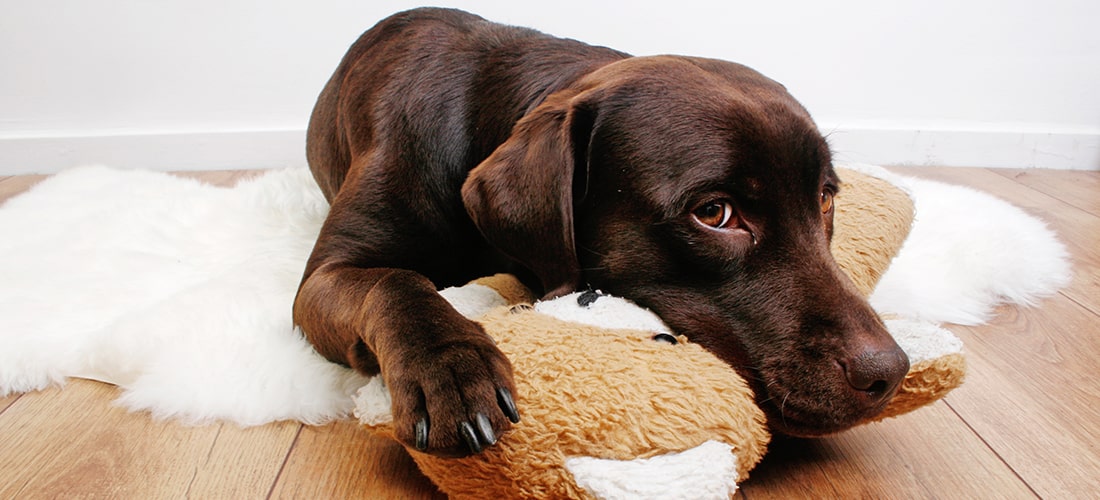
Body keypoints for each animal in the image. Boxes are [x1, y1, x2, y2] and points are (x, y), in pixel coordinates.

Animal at [297, 6, 906, 457]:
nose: (890, 372)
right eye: (714, 213)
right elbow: (395, 282)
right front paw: (450, 366)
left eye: (825, 198)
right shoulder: (323, 280)